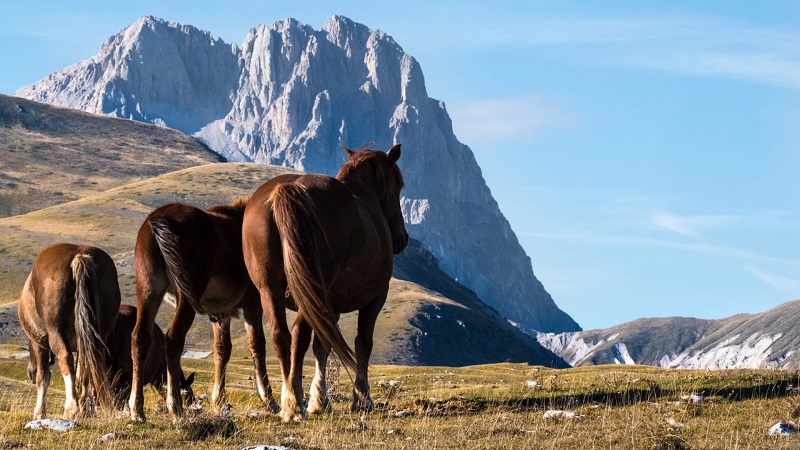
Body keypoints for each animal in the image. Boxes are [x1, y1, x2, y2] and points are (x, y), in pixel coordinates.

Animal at [18, 243, 120, 420]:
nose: (29, 372)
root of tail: (80, 256)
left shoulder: (41, 344)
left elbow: (43, 377)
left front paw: (39, 412)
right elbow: (81, 372)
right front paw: (87, 406)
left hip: (55, 333)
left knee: (66, 359)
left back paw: (71, 408)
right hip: (95, 335)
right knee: (88, 365)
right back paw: (83, 407)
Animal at [128, 198, 279, 422]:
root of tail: (158, 220)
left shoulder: (220, 311)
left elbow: (222, 350)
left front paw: (219, 401)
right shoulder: (253, 303)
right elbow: (257, 345)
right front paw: (269, 400)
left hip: (148, 290)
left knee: (140, 338)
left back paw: (137, 410)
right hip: (185, 295)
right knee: (173, 339)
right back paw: (175, 407)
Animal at [242, 144, 408, 421]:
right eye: (399, 185)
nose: (402, 239)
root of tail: (287, 189)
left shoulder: (331, 303)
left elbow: (323, 346)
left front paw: (320, 400)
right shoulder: (376, 297)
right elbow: (363, 343)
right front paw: (362, 398)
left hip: (269, 289)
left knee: (280, 335)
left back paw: (287, 400)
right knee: (298, 335)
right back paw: (294, 404)